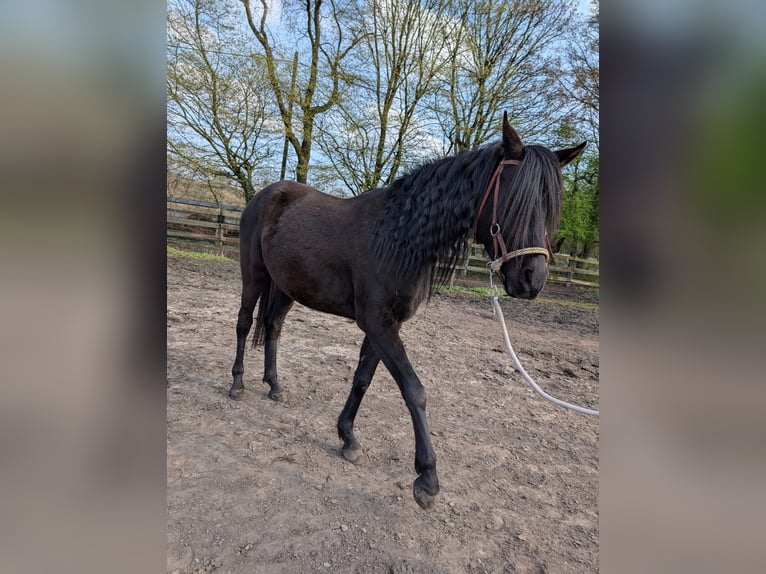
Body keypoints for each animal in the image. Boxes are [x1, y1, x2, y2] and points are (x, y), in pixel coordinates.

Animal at [229, 113, 585, 509]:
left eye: (551, 207)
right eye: (515, 200)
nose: (531, 279)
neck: (399, 236)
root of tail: (266, 195)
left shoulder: (384, 326)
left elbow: (362, 380)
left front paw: (347, 438)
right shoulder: (378, 324)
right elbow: (414, 390)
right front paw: (427, 478)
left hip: (286, 286)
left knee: (273, 326)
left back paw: (275, 386)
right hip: (254, 275)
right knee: (244, 323)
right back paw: (237, 384)